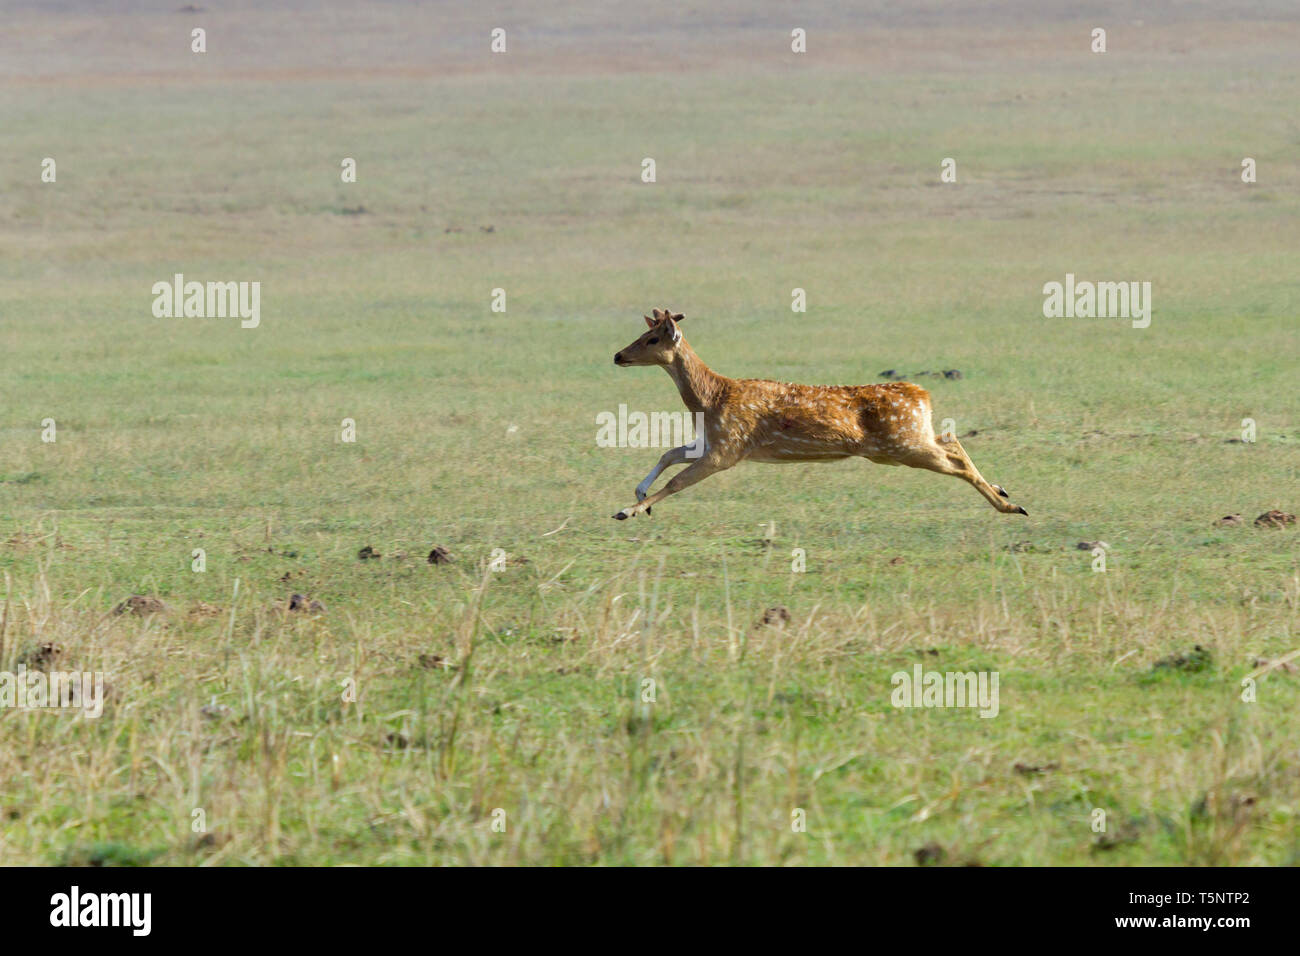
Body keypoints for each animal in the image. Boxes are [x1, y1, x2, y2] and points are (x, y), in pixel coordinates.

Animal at [608, 310, 1024, 522]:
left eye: (652, 339)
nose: (617, 355)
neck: (711, 398)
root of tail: (922, 394)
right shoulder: (714, 441)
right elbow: (669, 453)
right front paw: (639, 494)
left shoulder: (728, 448)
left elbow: (678, 480)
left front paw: (628, 510)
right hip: (902, 442)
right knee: (950, 440)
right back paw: (1004, 490)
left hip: (901, 444)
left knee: (955, 457)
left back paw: (1012, 505)